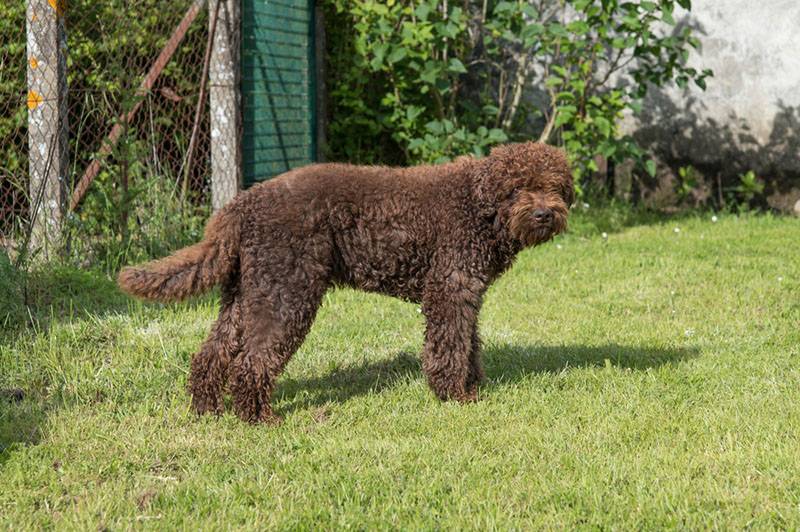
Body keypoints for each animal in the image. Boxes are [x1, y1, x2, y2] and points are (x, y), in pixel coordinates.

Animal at [115, 141, 572, 424]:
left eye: (554, 187)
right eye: (518, 188)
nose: (544, 214)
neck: (479, 207)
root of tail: (243, 204)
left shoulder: (466, 291)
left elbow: (469, 344)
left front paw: (473, 389)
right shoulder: (450, 288)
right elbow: (451, 347)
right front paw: (453, 396)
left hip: (247, 293)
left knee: (211, 355)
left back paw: (207, 409)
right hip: (287, 293)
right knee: (252, 361)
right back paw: (259, 418)